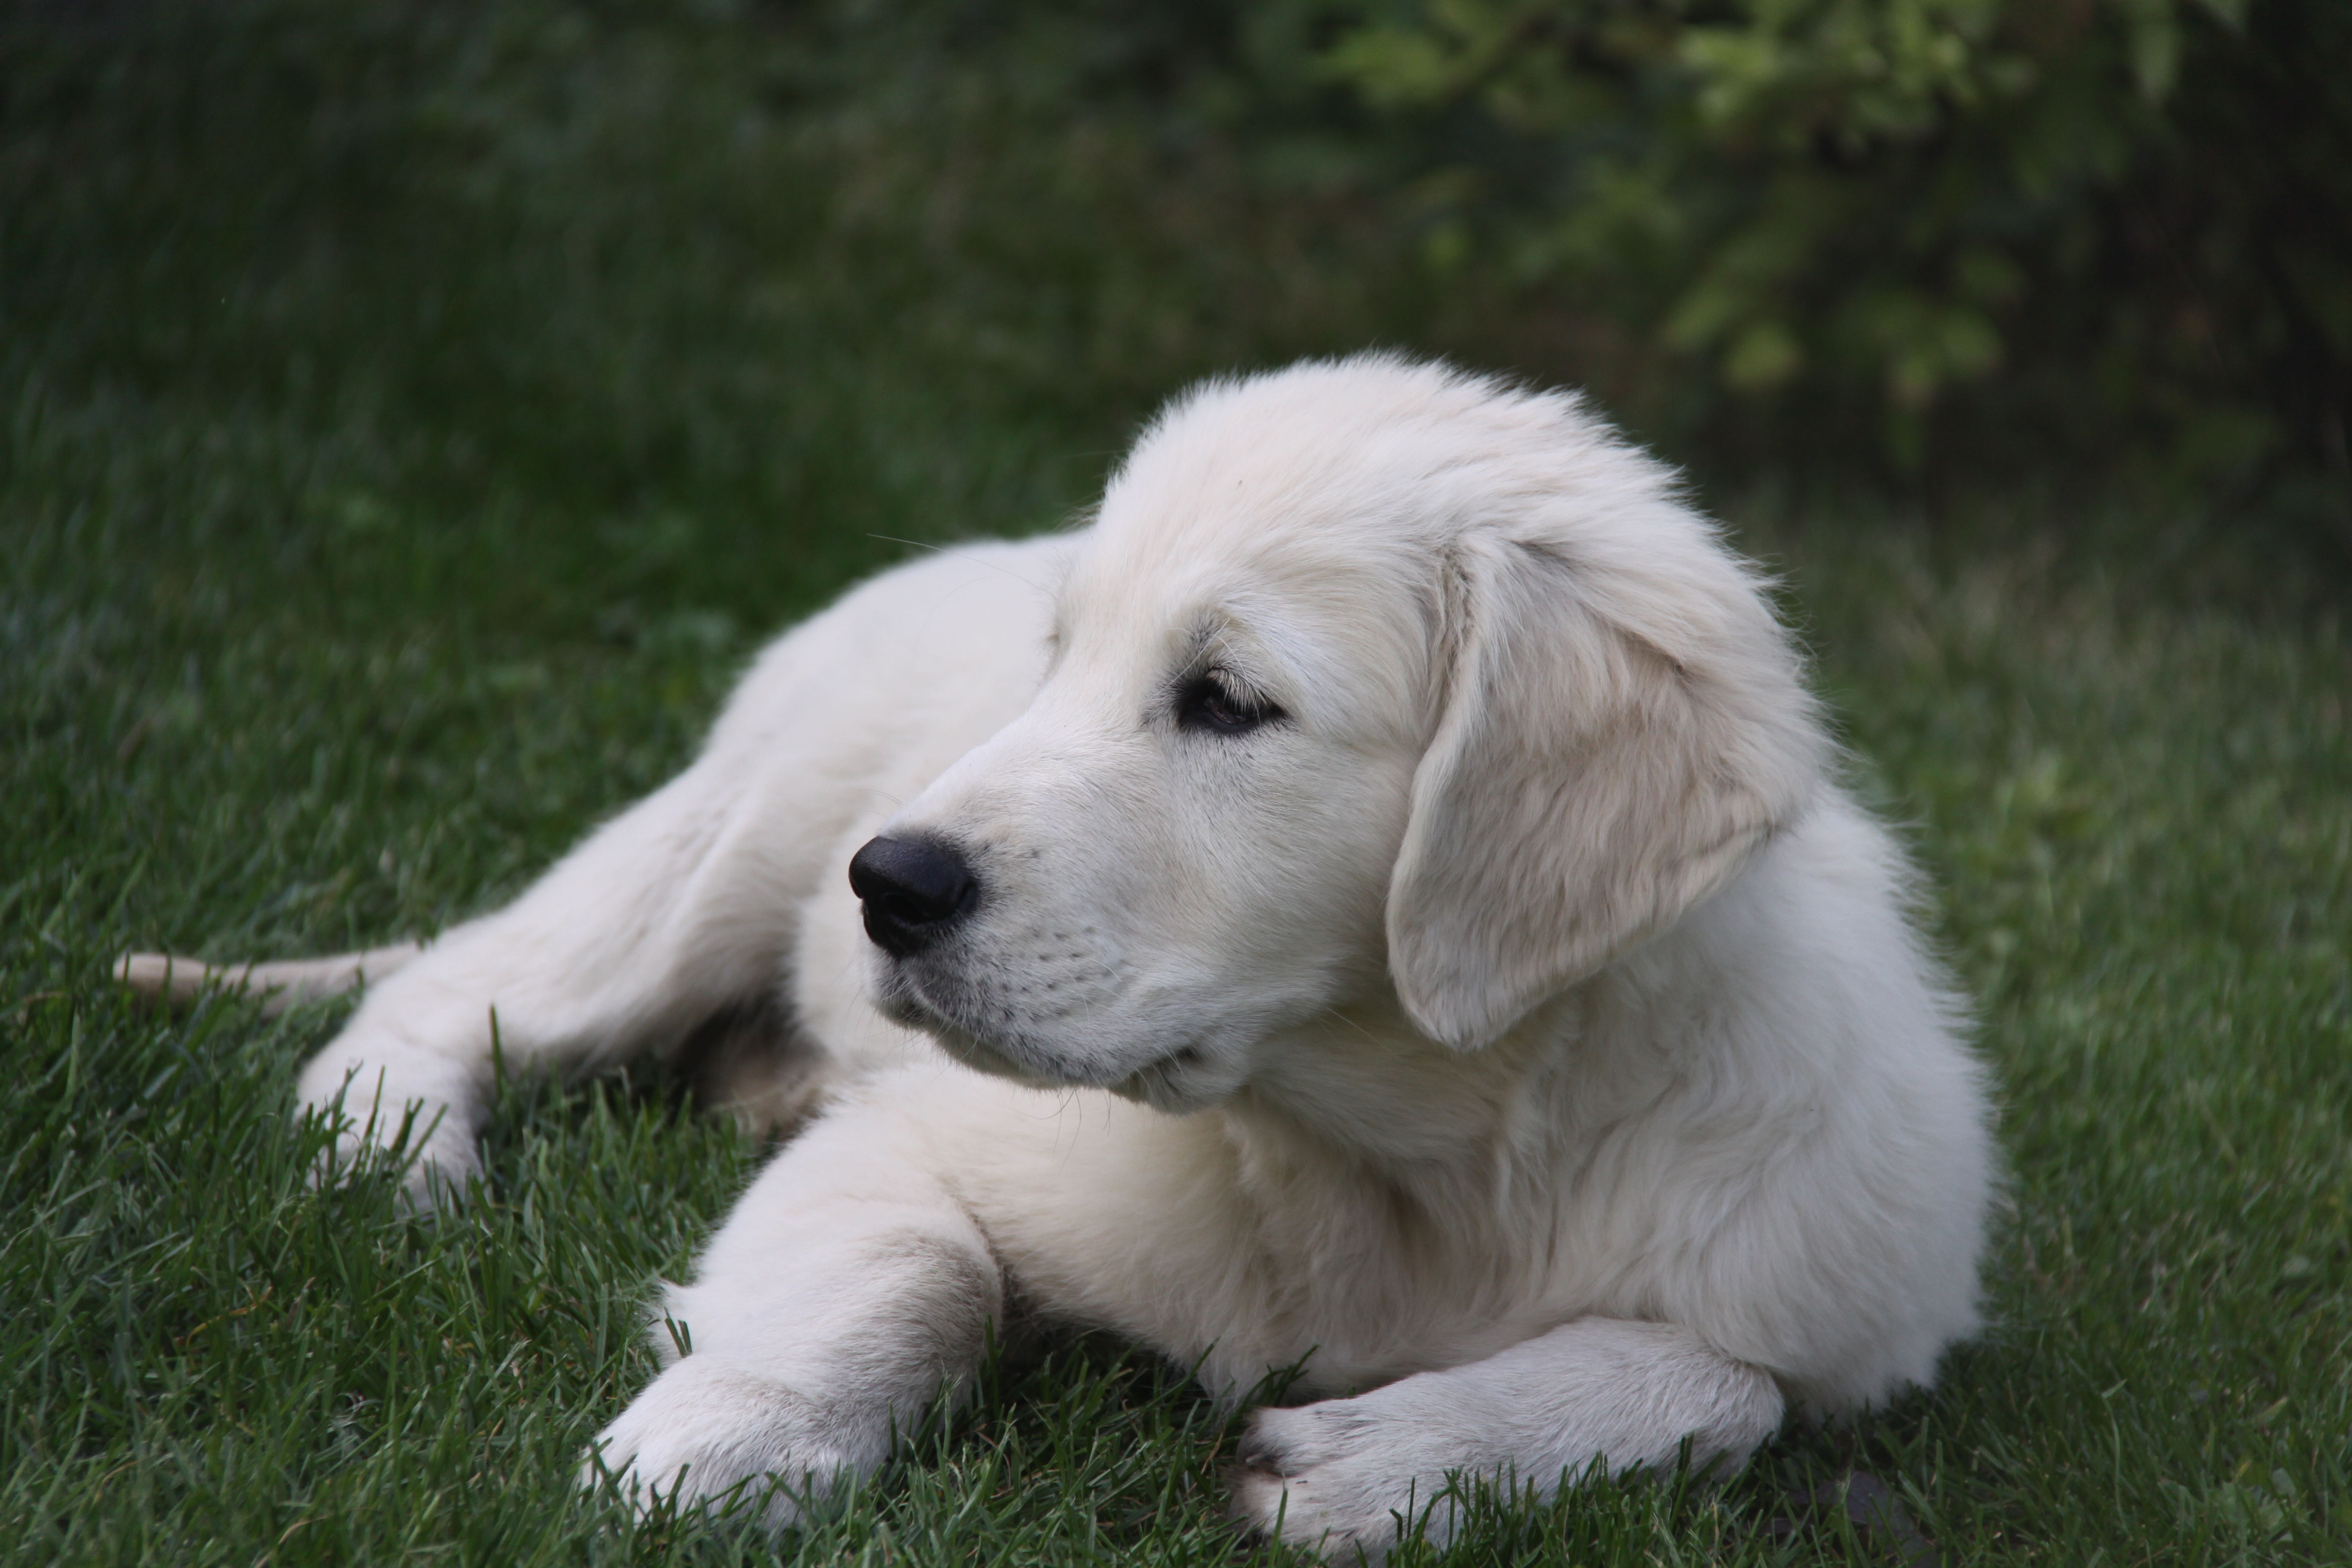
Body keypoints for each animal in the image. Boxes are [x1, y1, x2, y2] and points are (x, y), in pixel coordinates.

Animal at [124, 355, 1985, 1561]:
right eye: (1061, 662)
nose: (889, 885)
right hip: (736, 834)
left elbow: (1723, 1382)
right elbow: (915, 1271)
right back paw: (391, 1160)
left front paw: (1390, 1458)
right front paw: (714, 1447)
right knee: (449, 991)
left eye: (1225, 700)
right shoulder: (917, 1134)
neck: (1402, 1156)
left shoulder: (1836, 1298)